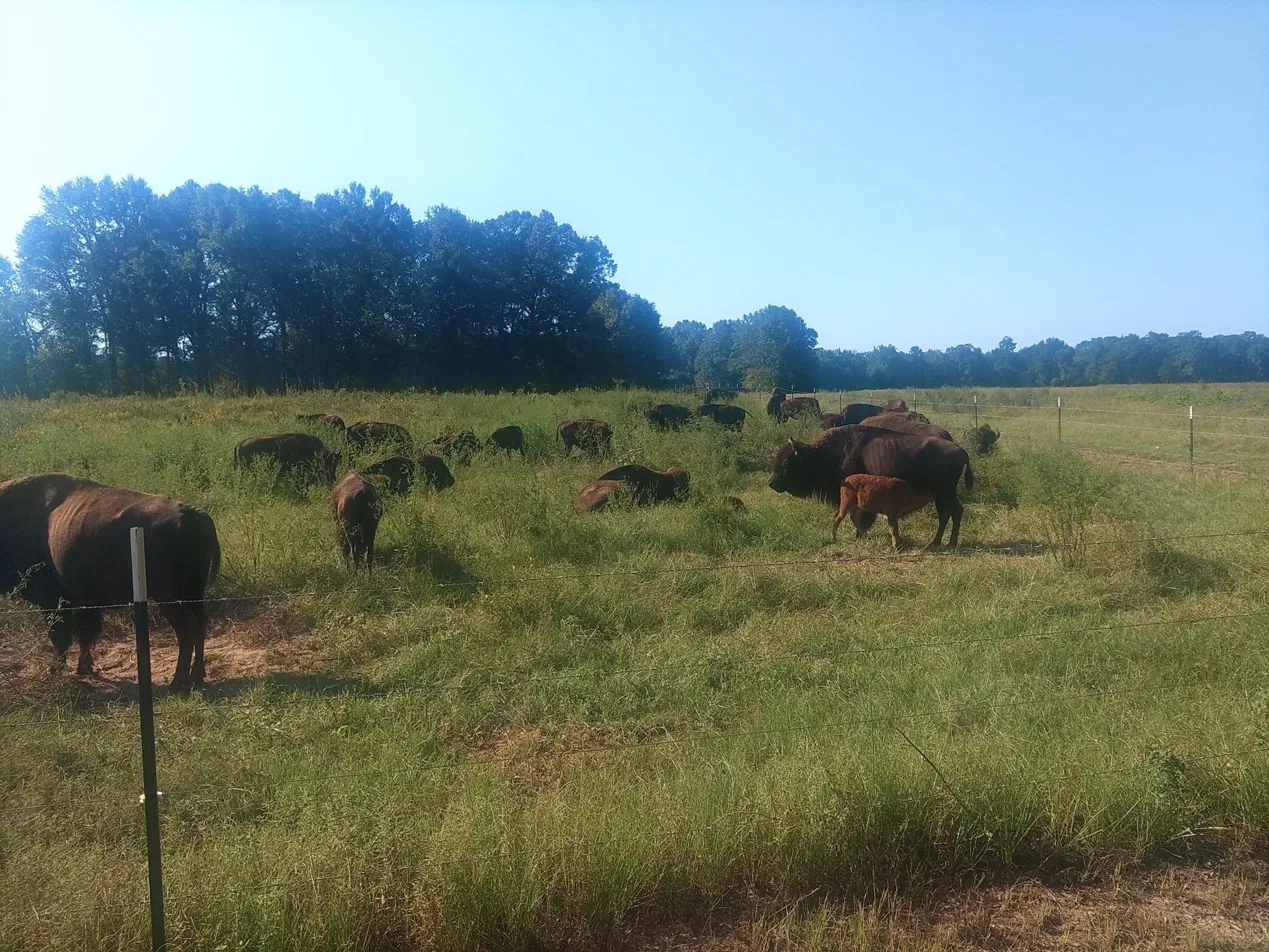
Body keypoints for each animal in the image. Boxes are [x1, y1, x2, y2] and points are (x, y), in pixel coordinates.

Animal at [0, 474, 221, 689]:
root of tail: (195, 515)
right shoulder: (84, 601)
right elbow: (85, 634)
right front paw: (83, 668)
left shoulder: (52, 601)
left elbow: (61, 636)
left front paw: (54, 671)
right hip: (193, 593)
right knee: (200, 624)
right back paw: (197, 676)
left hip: (169, 598)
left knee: (186, 630)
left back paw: (177, 682)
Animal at [769, 425, 973, 548]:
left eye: (786, 463)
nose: (771, 483)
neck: (822, 454)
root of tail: (962, 451)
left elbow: (859, 517)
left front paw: (860, 535)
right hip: (943, 494)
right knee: (950, 513)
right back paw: (941, 542)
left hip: (945, 493)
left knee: (950, 512)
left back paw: (945, 543)